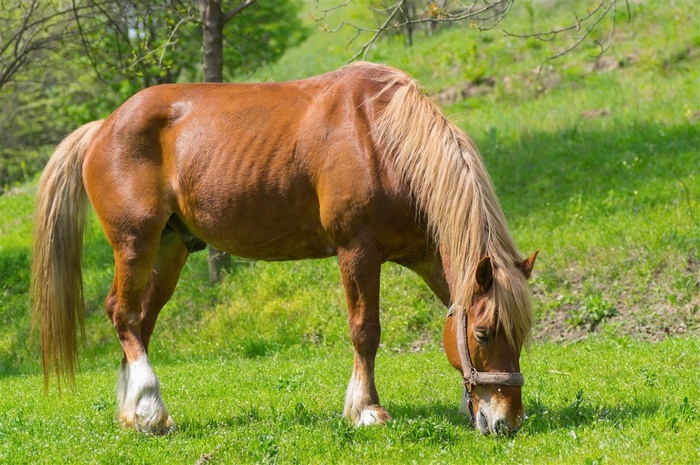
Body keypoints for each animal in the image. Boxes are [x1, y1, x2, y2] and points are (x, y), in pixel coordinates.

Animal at [30, 62, 540, 436]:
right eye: (484, 335)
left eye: (521, 334)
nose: (507, 422)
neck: (381, 139)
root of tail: (103, 126)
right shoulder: (357, 250)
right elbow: (365, 331)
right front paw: (366, 410)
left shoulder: (427, 257)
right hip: (136, 242)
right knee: (122, 314)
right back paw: (151, 408)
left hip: (170, 249)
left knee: (139, 320)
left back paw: (136, 414)